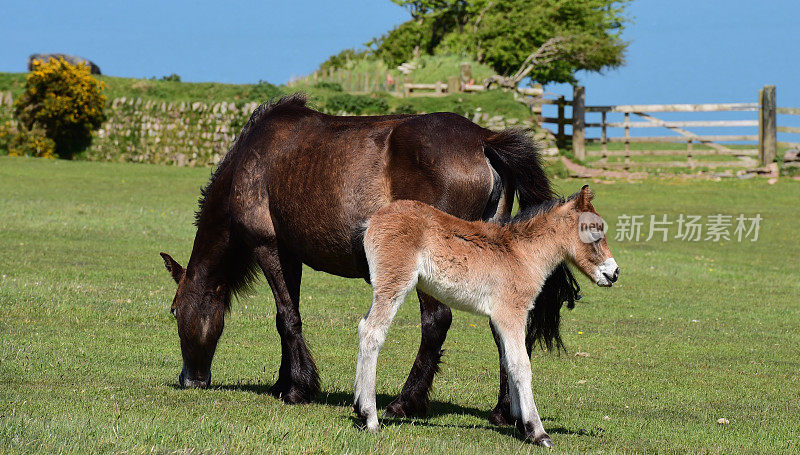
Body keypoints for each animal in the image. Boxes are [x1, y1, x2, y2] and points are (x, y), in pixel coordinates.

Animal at [162, 94, 580, 426]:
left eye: (175, 310)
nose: (189, 379)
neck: (254, 158)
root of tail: (483, 140)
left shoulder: (270, 246)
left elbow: (286, 317)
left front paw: (297, 388)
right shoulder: (291, 254)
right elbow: (289, 314)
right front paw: (285, 382)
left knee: (436, 321)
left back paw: (404, 402)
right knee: (502, 328)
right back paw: (503, 411)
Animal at [354, 186, 620, 448]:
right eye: (594, 230)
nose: (615, 273)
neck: (522, 254)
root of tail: (375, 219)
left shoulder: (502, 318)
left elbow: (507, 361)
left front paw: (519, 422)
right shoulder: (511, 313)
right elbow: (521, 365)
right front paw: (537, 432)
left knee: (363, 326)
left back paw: (358, 406)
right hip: (394, 283)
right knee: (372, 333)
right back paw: (370, 418)